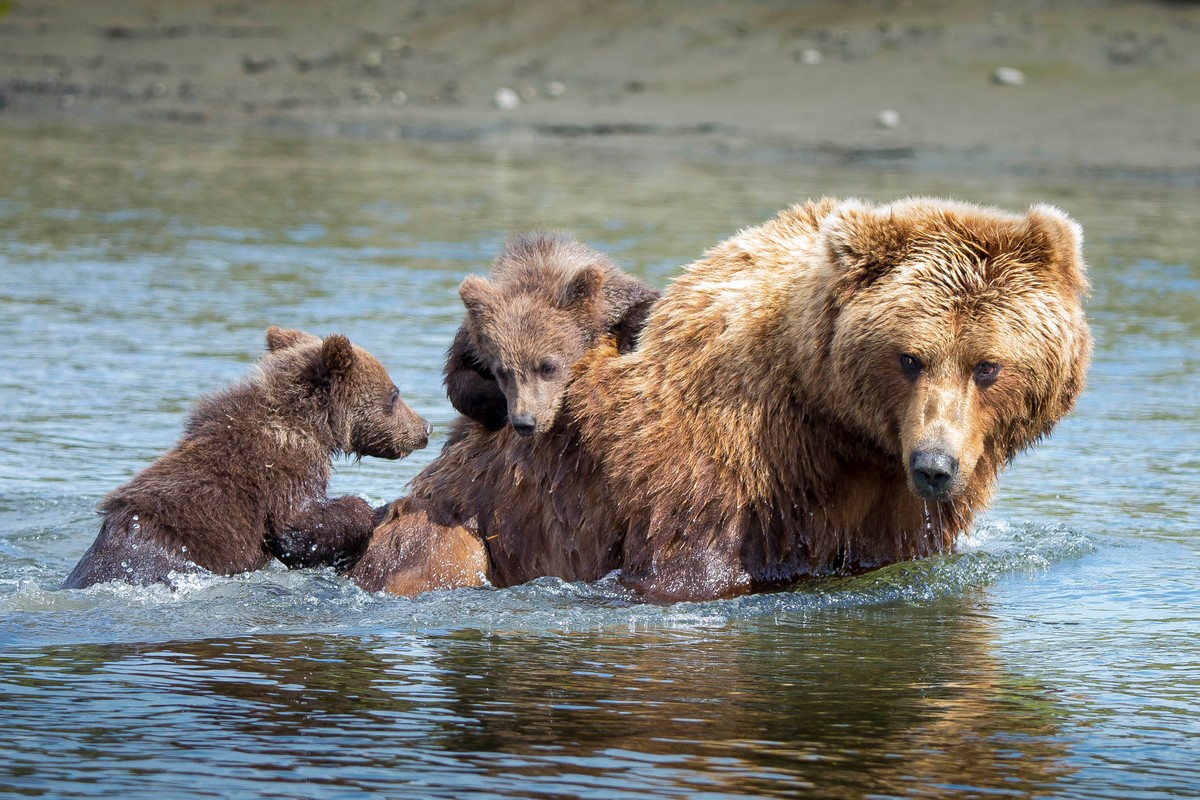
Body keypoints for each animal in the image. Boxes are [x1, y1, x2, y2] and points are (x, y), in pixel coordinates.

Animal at [350, 199, 1094, 599]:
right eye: (909, 358)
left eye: (988, 366)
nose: (936, 465)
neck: (829, 422)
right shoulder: (718, 466)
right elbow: (687, 570)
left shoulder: (895, 509)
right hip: (466, 520)